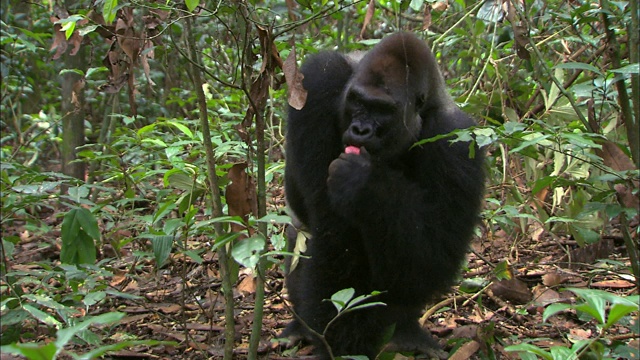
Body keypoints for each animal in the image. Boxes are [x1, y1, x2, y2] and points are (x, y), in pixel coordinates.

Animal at [282, 32, 482, 358]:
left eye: (384, 110)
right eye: (357, 102)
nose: (360, 130)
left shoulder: (458, 141)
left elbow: (433, 258)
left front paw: (364, 184)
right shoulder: (318, 80)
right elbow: (336, 233)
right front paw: (342, 345)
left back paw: (407, 332)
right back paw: (300, 326)